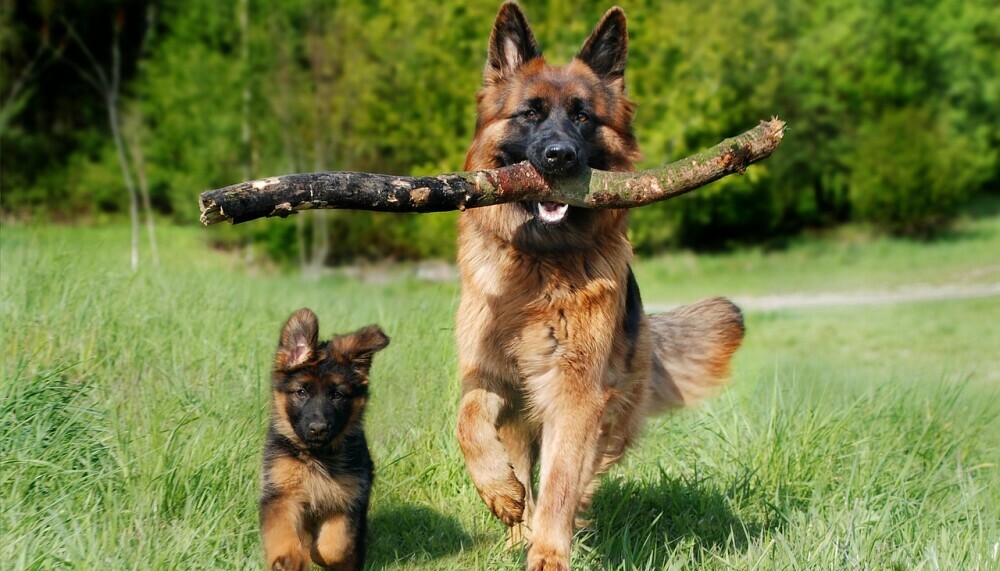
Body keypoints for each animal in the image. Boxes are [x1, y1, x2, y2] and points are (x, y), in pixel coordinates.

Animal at [260, 310, 388, 568]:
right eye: (301, 392)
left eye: (337, 395)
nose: (318, 429)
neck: (317, 456)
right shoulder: (281, 494)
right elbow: (282, 530)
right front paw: (289, 559)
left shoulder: (348, 500)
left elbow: (334, 546)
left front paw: (318, 554)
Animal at [458, 2, 748, 568]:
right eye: (530, 113)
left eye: (582, 117)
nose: (559, 157)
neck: (540, 263)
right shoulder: (489, 373)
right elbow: (469, 421)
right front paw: (499, 492)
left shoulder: (576, 391)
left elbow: (560, 482)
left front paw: (549, 553)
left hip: (608, 408)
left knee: (577, 473)